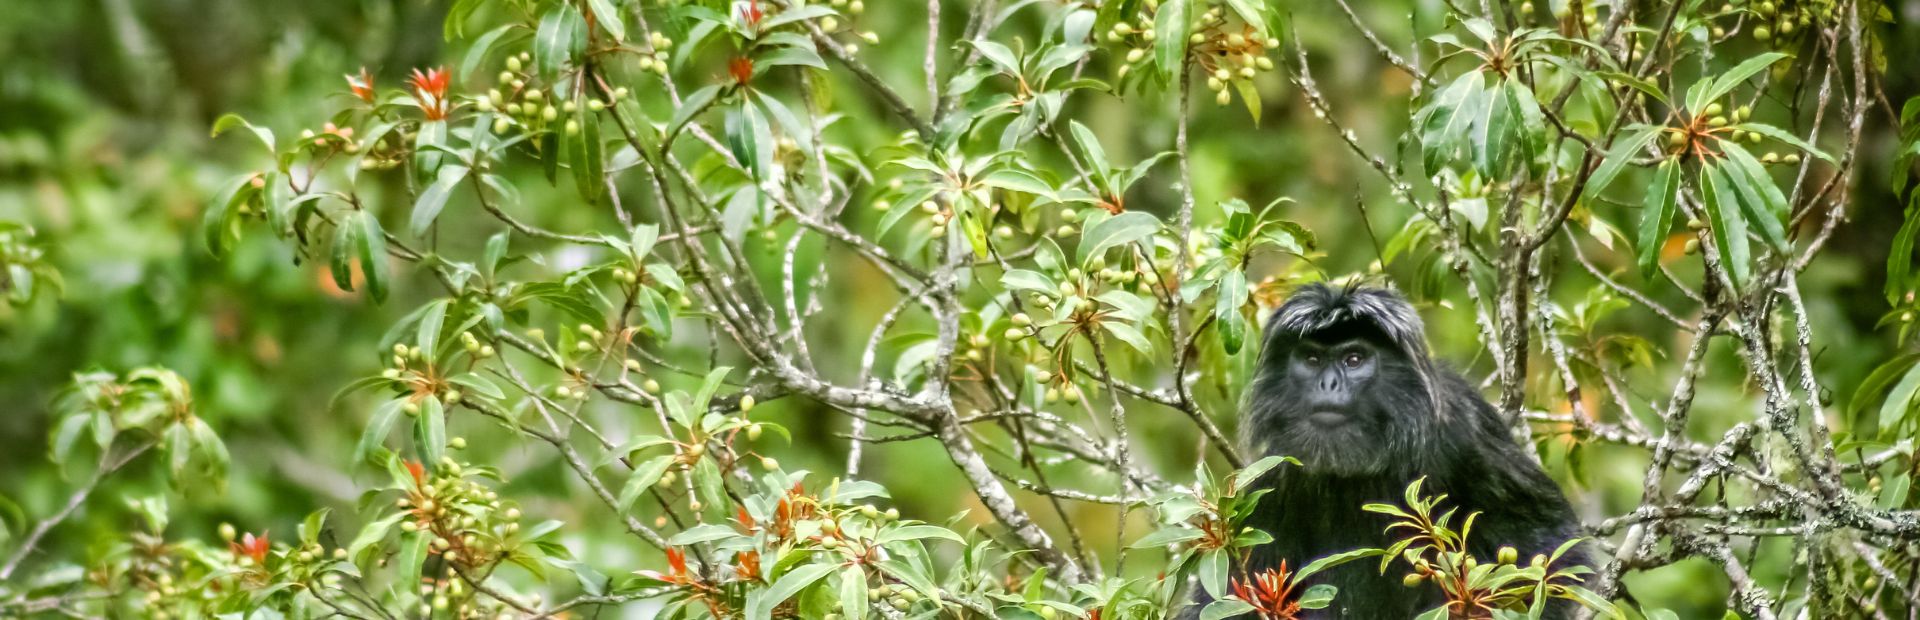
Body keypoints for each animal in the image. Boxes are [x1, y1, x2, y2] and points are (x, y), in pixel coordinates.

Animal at [1181, 282, 1589, 619]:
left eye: (1354, 360)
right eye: (1312, 360)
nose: (1328, 383)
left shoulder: (1461, 428)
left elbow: (1552, 544)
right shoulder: (1277, 468)